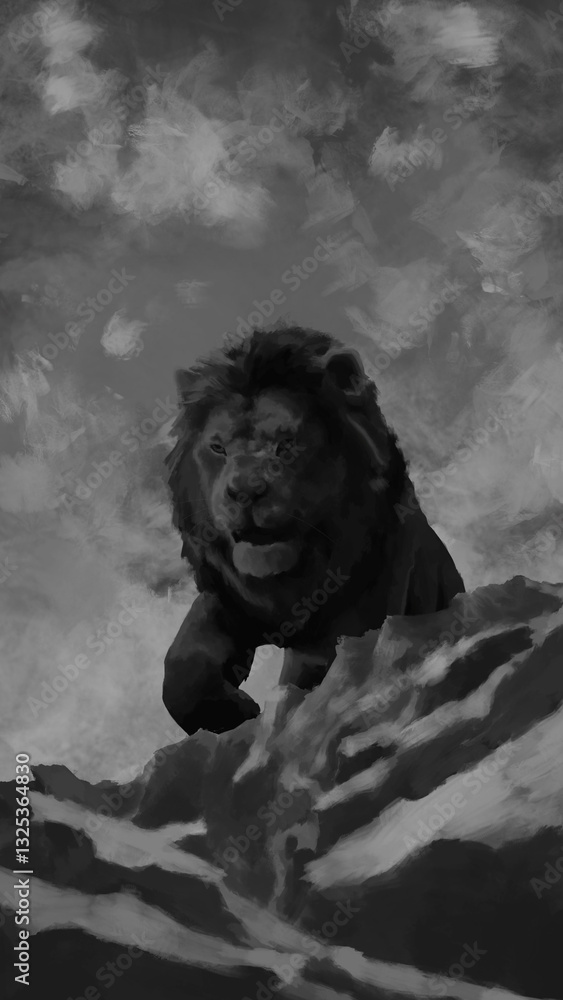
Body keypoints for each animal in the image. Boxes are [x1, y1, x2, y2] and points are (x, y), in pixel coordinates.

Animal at [163, 326, 464, 736]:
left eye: (287, 444)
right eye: (217, 447)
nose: (244, 491)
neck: (293, 580)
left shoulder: (367, 606)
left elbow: (317, 672)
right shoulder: (228, 599)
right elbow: (182, 664)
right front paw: (233, 712)